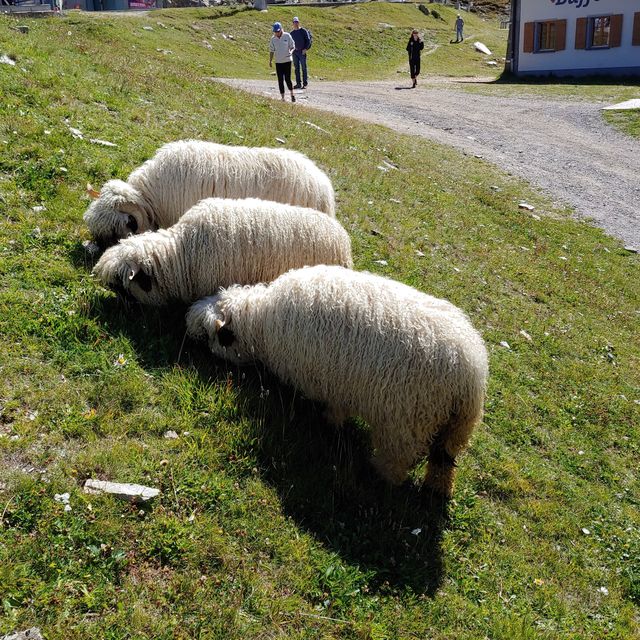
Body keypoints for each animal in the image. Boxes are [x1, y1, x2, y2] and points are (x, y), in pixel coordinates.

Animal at [188, 264, 488, 496]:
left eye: (212, 335)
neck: (261, 322)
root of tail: (469, 374)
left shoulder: (327, 381)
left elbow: (334, 410)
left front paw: (330, 422)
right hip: (457, 429)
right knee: (443, 464)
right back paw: (438, 491)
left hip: (407, 423)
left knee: (398, 461)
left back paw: (379, 475)